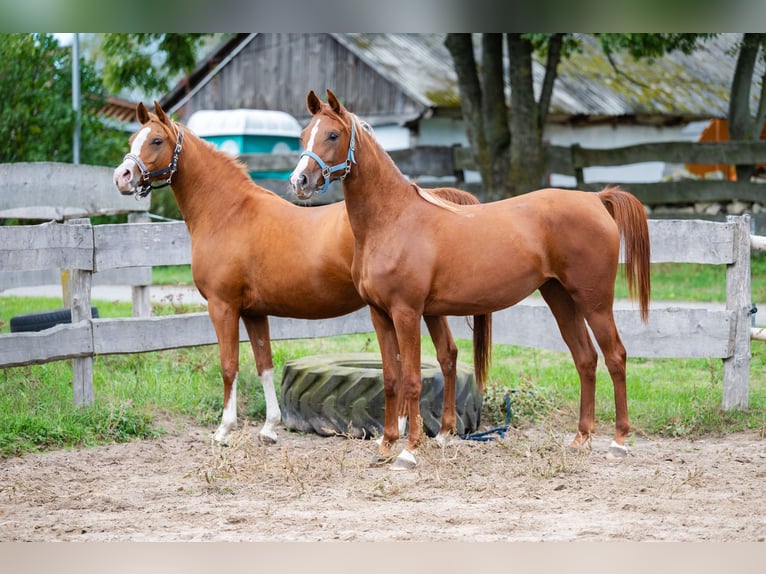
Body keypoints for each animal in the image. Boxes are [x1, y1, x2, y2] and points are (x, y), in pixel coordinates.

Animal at [112, 101, 492, 448]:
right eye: (132, 138)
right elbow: (264, 364)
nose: (122, 177)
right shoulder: (254, 312)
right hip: (425, 308)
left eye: (156, 140)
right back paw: (434, 432)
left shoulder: (223, 307)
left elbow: (229, 365)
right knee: (445, 356)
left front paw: (223, 430)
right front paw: (269, 428)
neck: (229, 212)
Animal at [292, 89, 652, 468]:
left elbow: (412, 380)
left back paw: (619, 441)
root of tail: (596, 199)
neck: (393, 219)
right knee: (585, 359)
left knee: (615, 356)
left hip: (594, 301)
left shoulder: (407, 313)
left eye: (333, 135)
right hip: (560, 297)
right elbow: (391, 378)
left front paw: (409, 450)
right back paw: (581, 438)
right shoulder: (381, 315)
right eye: (303, 135)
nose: (299, 182)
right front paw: (386, 444)